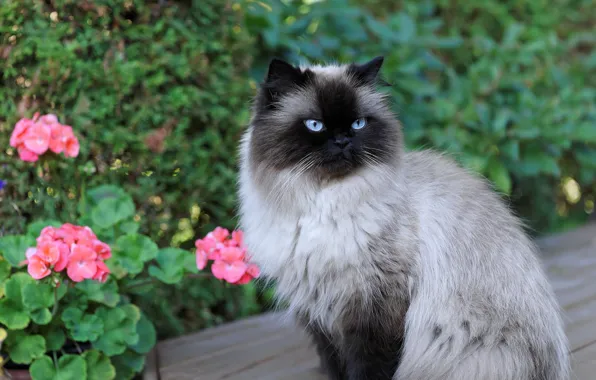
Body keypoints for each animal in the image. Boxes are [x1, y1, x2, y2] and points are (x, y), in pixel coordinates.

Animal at [235, 56, 572, 380]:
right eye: (315, 125)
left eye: (358, 123)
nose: (343, 141)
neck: (323, 202)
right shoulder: (317, 309)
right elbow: (334, 365)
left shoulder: (374, 304)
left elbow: (368, 367)